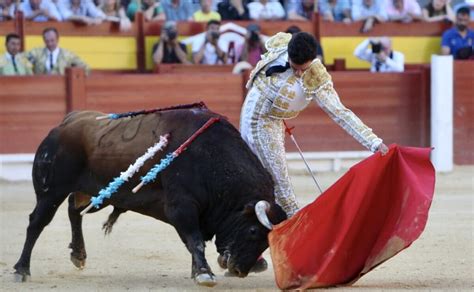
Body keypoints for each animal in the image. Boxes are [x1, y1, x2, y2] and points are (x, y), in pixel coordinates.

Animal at [13, 106, 286, 286]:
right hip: (51, 191)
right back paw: (21, 270)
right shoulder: (181, 207)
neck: (212, 159)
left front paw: (197, 271)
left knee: (73, 210)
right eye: (253, 231)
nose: (240, 270)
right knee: (37, 223)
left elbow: (194, 241)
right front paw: (203, 273)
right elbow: (195, 240)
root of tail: (64, 124)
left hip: (99, 192)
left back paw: (78, 255)